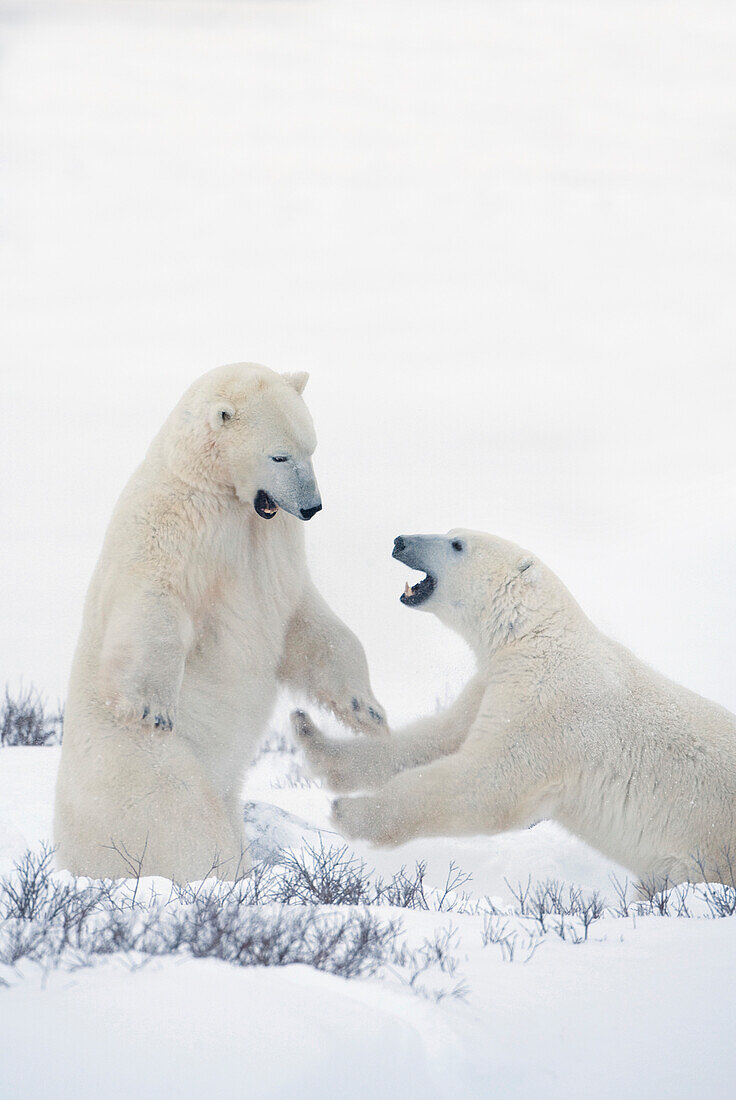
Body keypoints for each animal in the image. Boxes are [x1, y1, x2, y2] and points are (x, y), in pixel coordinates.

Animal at [55, 365, 387, 880]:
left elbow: (310, 623)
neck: (223, 497)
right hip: (146, 771)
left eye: (311, 448)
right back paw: (220, 874)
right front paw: (152, 707)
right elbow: (153, 603)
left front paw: (365, 710)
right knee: (186, 820)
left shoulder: (273, 555)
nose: (311, 507)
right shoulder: (173, 531)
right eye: (279, 454)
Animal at [294, 528, 736, 888]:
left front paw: (351, 813)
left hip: (702, 853)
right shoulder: (496, 681)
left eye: (457, 544)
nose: (400, 540)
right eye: (450, 532)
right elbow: (434, 739)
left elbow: (487, 783)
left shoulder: (549, 705)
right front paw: (310, 736)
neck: (535, 636)